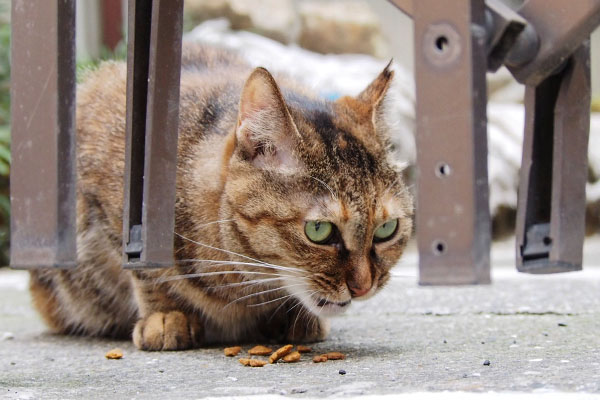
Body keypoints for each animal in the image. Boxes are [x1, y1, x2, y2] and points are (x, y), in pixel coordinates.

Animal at [29, 44, 412, 350]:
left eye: (386, 229)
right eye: (319, 231)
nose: (363, 287)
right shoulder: (115, 203)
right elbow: (146, 269)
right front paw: (165, 314)